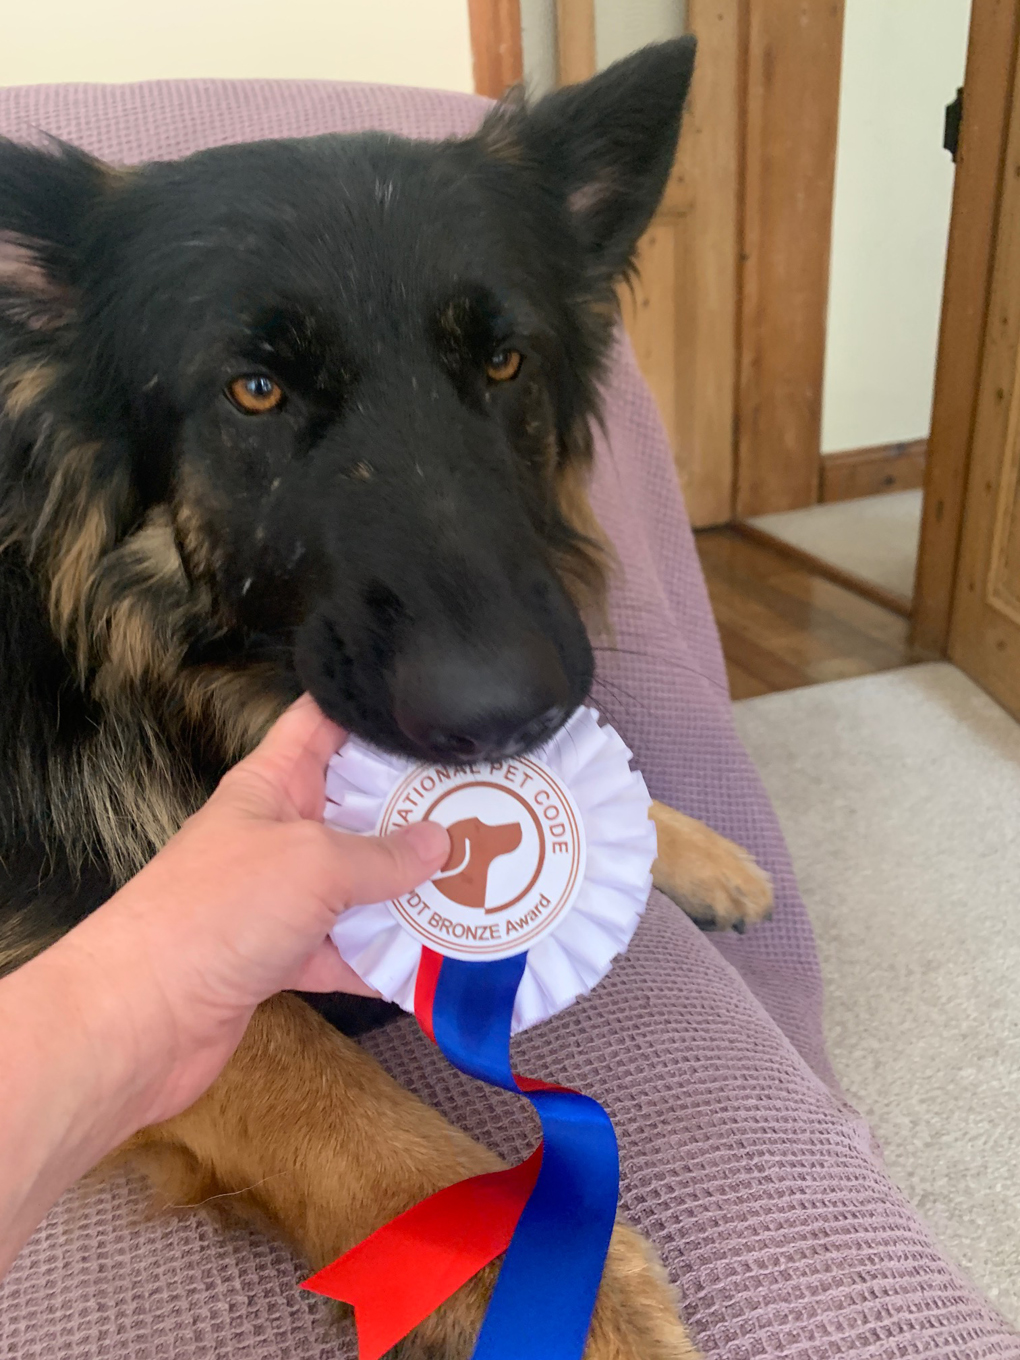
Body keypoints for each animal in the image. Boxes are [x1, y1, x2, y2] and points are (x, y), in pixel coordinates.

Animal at [0, 39, 767, 1360]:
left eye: (505, 362)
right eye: (255, 390)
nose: (510, 709)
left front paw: (694, 846)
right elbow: (307, 1068)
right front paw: (532, 1276)